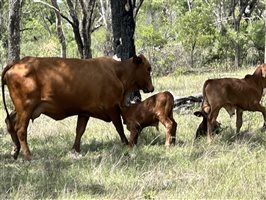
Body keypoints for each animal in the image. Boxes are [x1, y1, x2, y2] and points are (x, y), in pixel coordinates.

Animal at [1, 54, 154, 160]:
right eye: (148, 69)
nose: (152, 88)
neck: (117, 72)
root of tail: (17, 62)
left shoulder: (85, 111)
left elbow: (80, 130)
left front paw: (75, 149)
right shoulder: (112, 108)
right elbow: (119, 128)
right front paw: (126, 143)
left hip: (20, 109)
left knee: (9, 122)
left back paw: (15, 151)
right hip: (25, 108)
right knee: (21, 129)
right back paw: (28, 155)